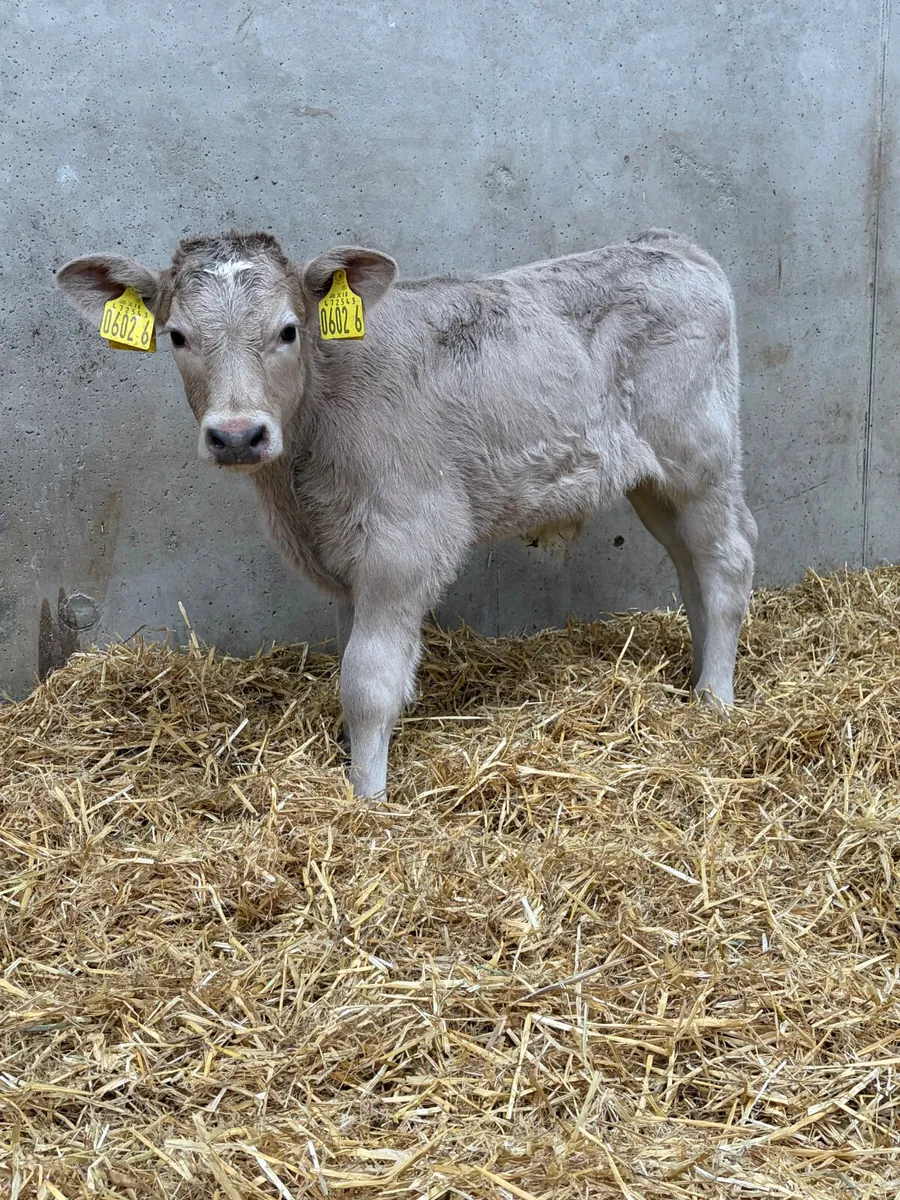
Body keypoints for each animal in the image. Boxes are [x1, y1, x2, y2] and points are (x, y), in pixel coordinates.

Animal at [57, 227, 757, 799]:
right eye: (177, 336)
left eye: (288, 330)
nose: (236, 435)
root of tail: (671, 246)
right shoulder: (341, 562)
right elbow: (348, 664)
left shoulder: (403, 546)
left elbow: (367, 682)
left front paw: (367, 797)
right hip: (654, 482)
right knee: (690, 566)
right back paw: (697, 678)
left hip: (700, 459)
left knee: (728, 560)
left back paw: (715, 701)